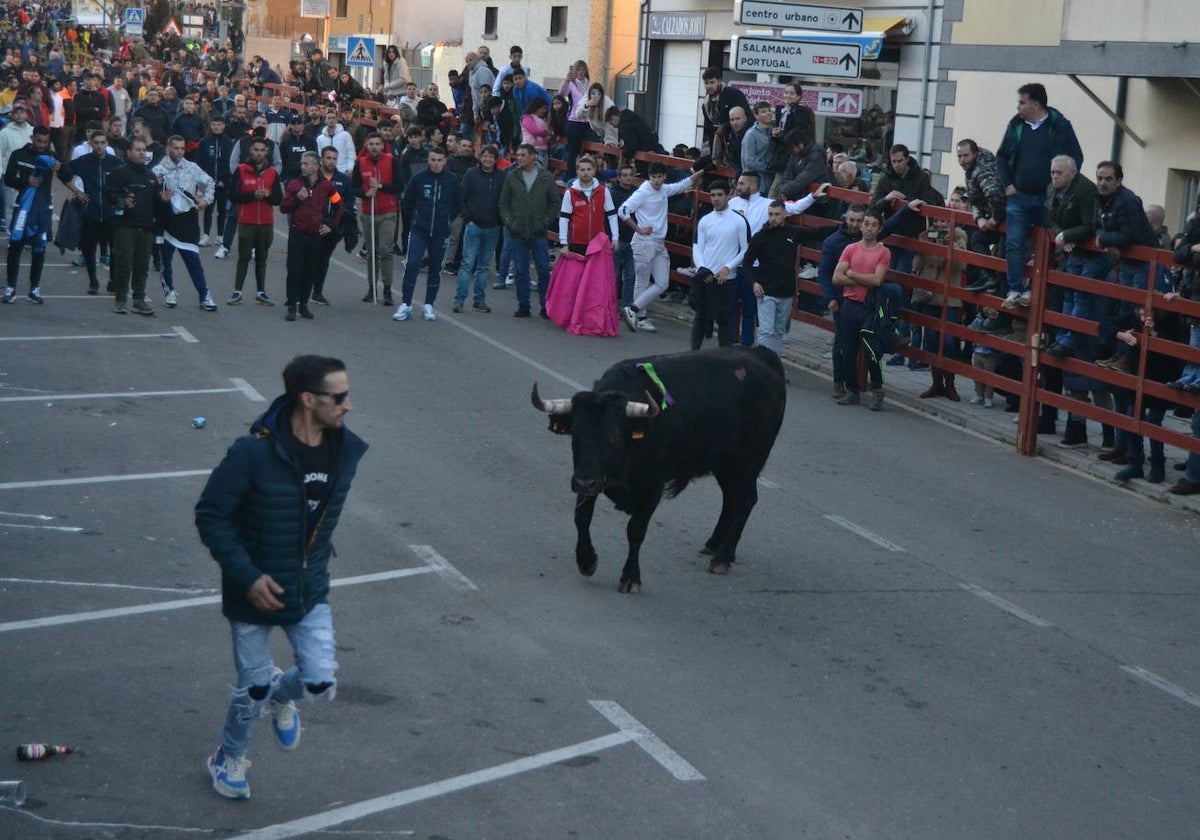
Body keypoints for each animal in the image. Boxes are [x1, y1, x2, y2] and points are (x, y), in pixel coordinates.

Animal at [535, 345, 787, 592]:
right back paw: (714, 544)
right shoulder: (591, 477)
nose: (585, 483)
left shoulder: (653, 485)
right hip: (725, 464)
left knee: (746, 500)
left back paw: (723, 557)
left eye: (614, 437)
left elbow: (635, 530)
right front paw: (586, 561)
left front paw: (630, 577)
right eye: (575, 434)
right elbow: (582, 518)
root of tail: (761, 353)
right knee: (730, 499)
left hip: (748, 462)